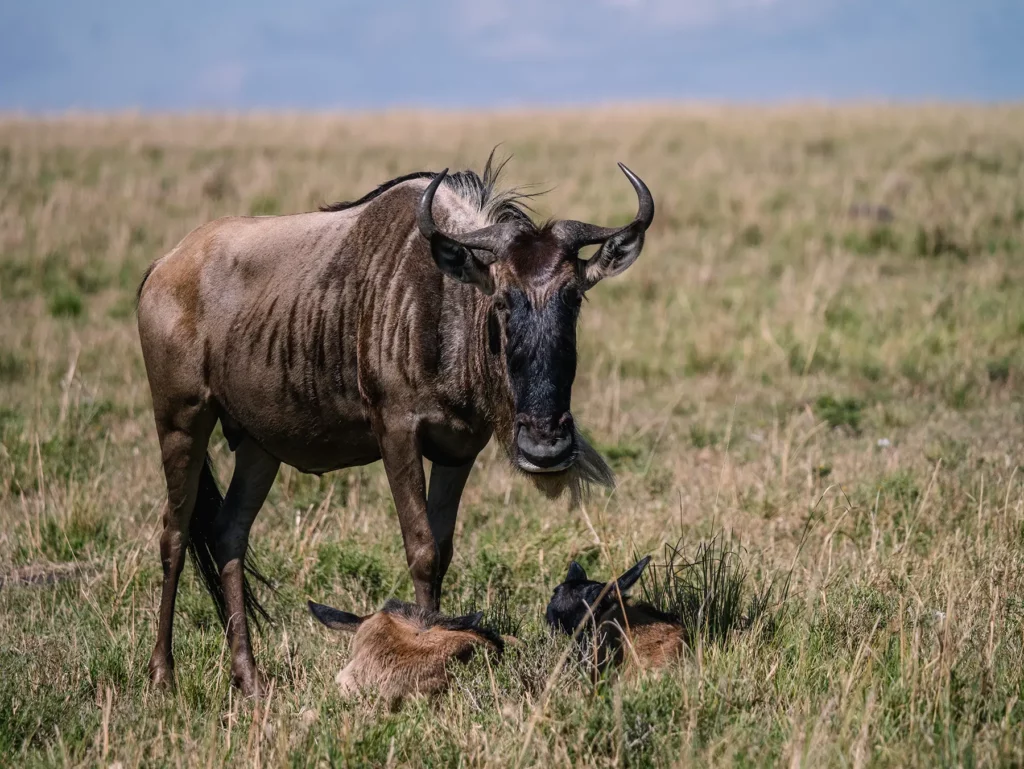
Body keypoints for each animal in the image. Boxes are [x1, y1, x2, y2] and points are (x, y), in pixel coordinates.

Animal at [136, 154, 654, 696]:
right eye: (502, 301)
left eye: (574, 299)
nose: (546, 447)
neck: (447, 306)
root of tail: (163, 265)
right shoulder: (396, 432)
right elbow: (421, 548)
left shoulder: (459, 448)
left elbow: (442, 550)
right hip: (181, 421)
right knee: (174, 534)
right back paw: (162, 676)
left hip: (260, 446)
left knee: (229, 534)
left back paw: (250, 679)